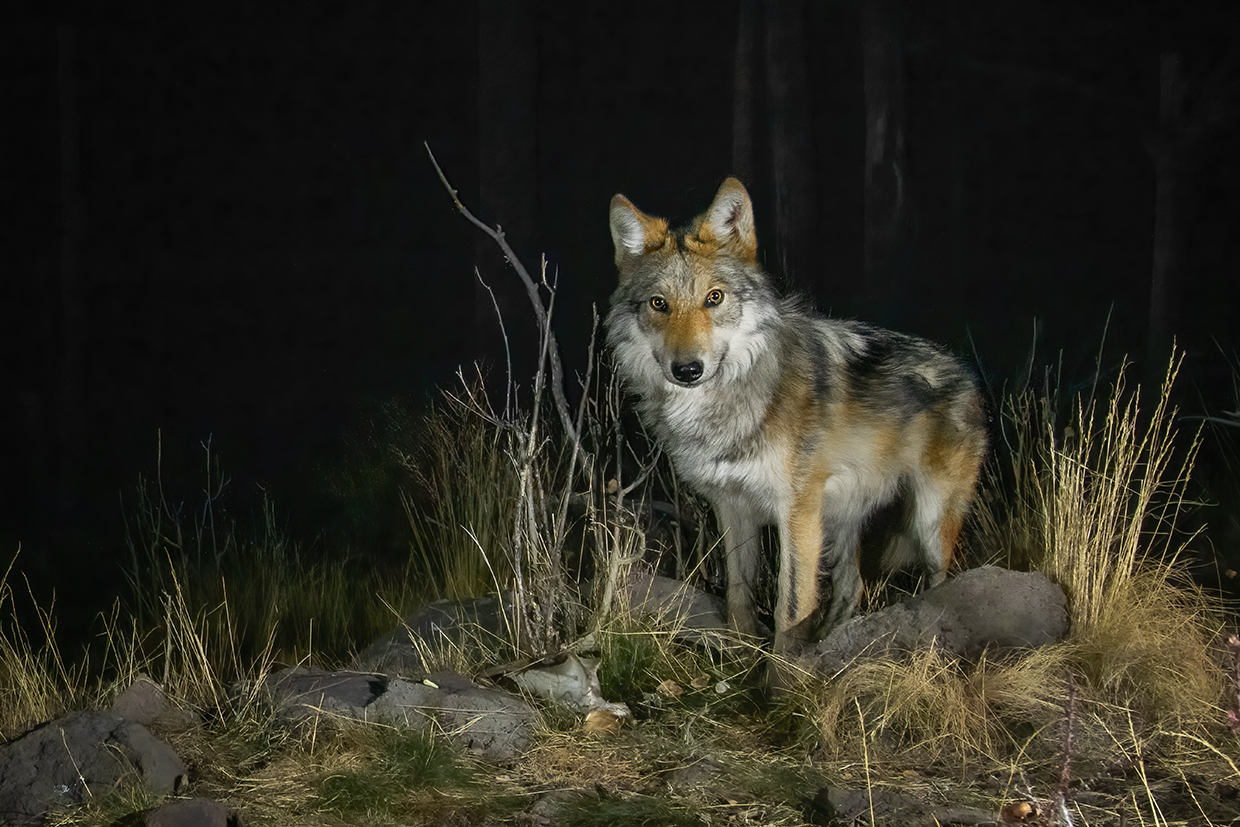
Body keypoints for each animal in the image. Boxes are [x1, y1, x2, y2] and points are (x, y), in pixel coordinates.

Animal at [605, 178, 988, 655]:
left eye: (715, 298)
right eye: (659, 303)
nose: (688, 370)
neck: (726, 404)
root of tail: (967, 373)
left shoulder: (796, 513)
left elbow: (790, 611)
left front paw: (783, 675)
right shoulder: (732, 507)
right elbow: (739, 593)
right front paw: (741, 655)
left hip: (929, 521)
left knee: (938, 577)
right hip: (841, 520)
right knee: (852, 587)